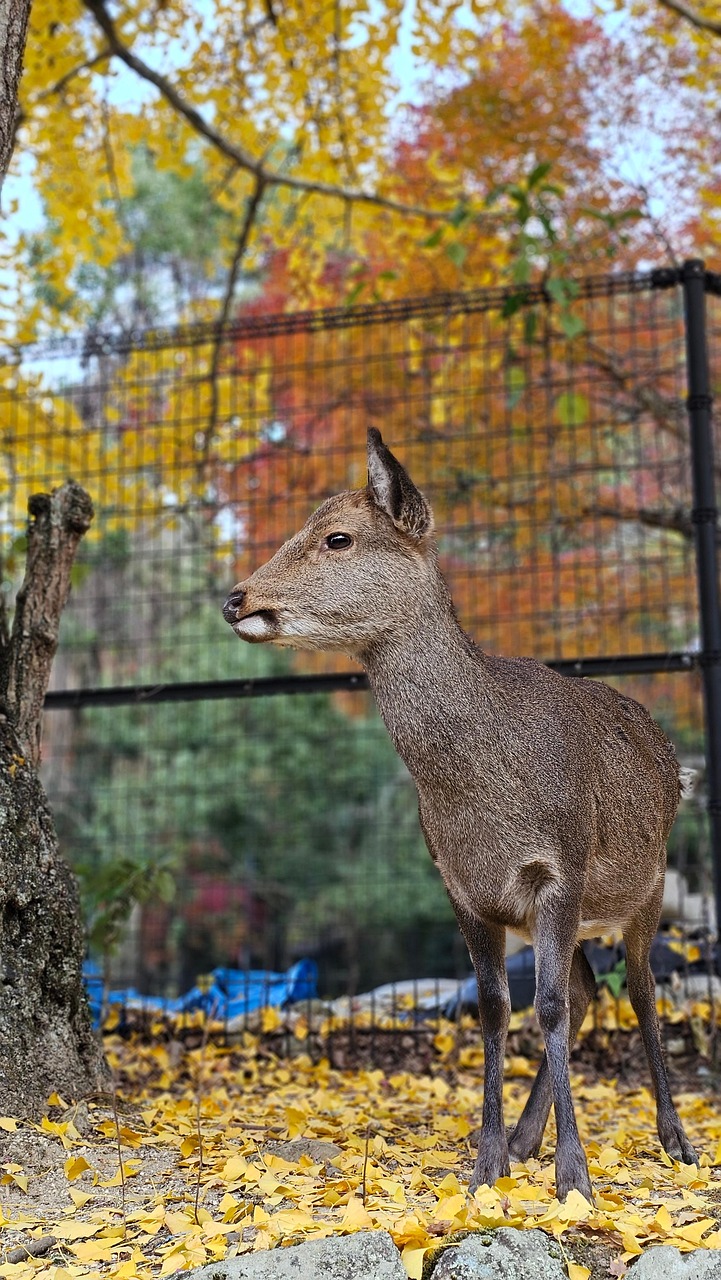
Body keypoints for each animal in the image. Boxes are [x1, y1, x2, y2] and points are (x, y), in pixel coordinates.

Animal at [222, 428, 698, 1202]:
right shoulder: (463, 890)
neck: (481, 797)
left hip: (648, 884)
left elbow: (549, 1006)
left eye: (337, 537)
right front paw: (488, 1162)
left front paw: (574, 1177)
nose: (236, 598)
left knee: (641, 990)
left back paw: (675, 1138)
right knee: (585, 986)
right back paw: (525, 1137)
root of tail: (667, 751)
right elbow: (497, 1008)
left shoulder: (560, 867)